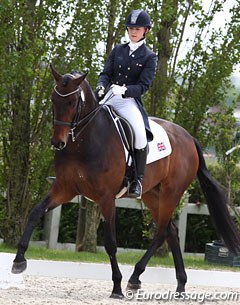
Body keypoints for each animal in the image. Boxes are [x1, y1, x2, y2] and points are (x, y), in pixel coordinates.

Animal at [11, 66, 240, 296]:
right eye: (53, 99)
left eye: (73, 102)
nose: (58, 142)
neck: (83, 141)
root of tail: (189, 137)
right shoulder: (63, 189)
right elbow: (35, 213)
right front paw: (18, 261)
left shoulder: (106, 198)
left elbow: (111, 243)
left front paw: (117, 286)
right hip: (151, 194)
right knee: (171, 232)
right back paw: (180, 285)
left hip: (171, 192)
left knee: (160, 234)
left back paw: (134, 278)